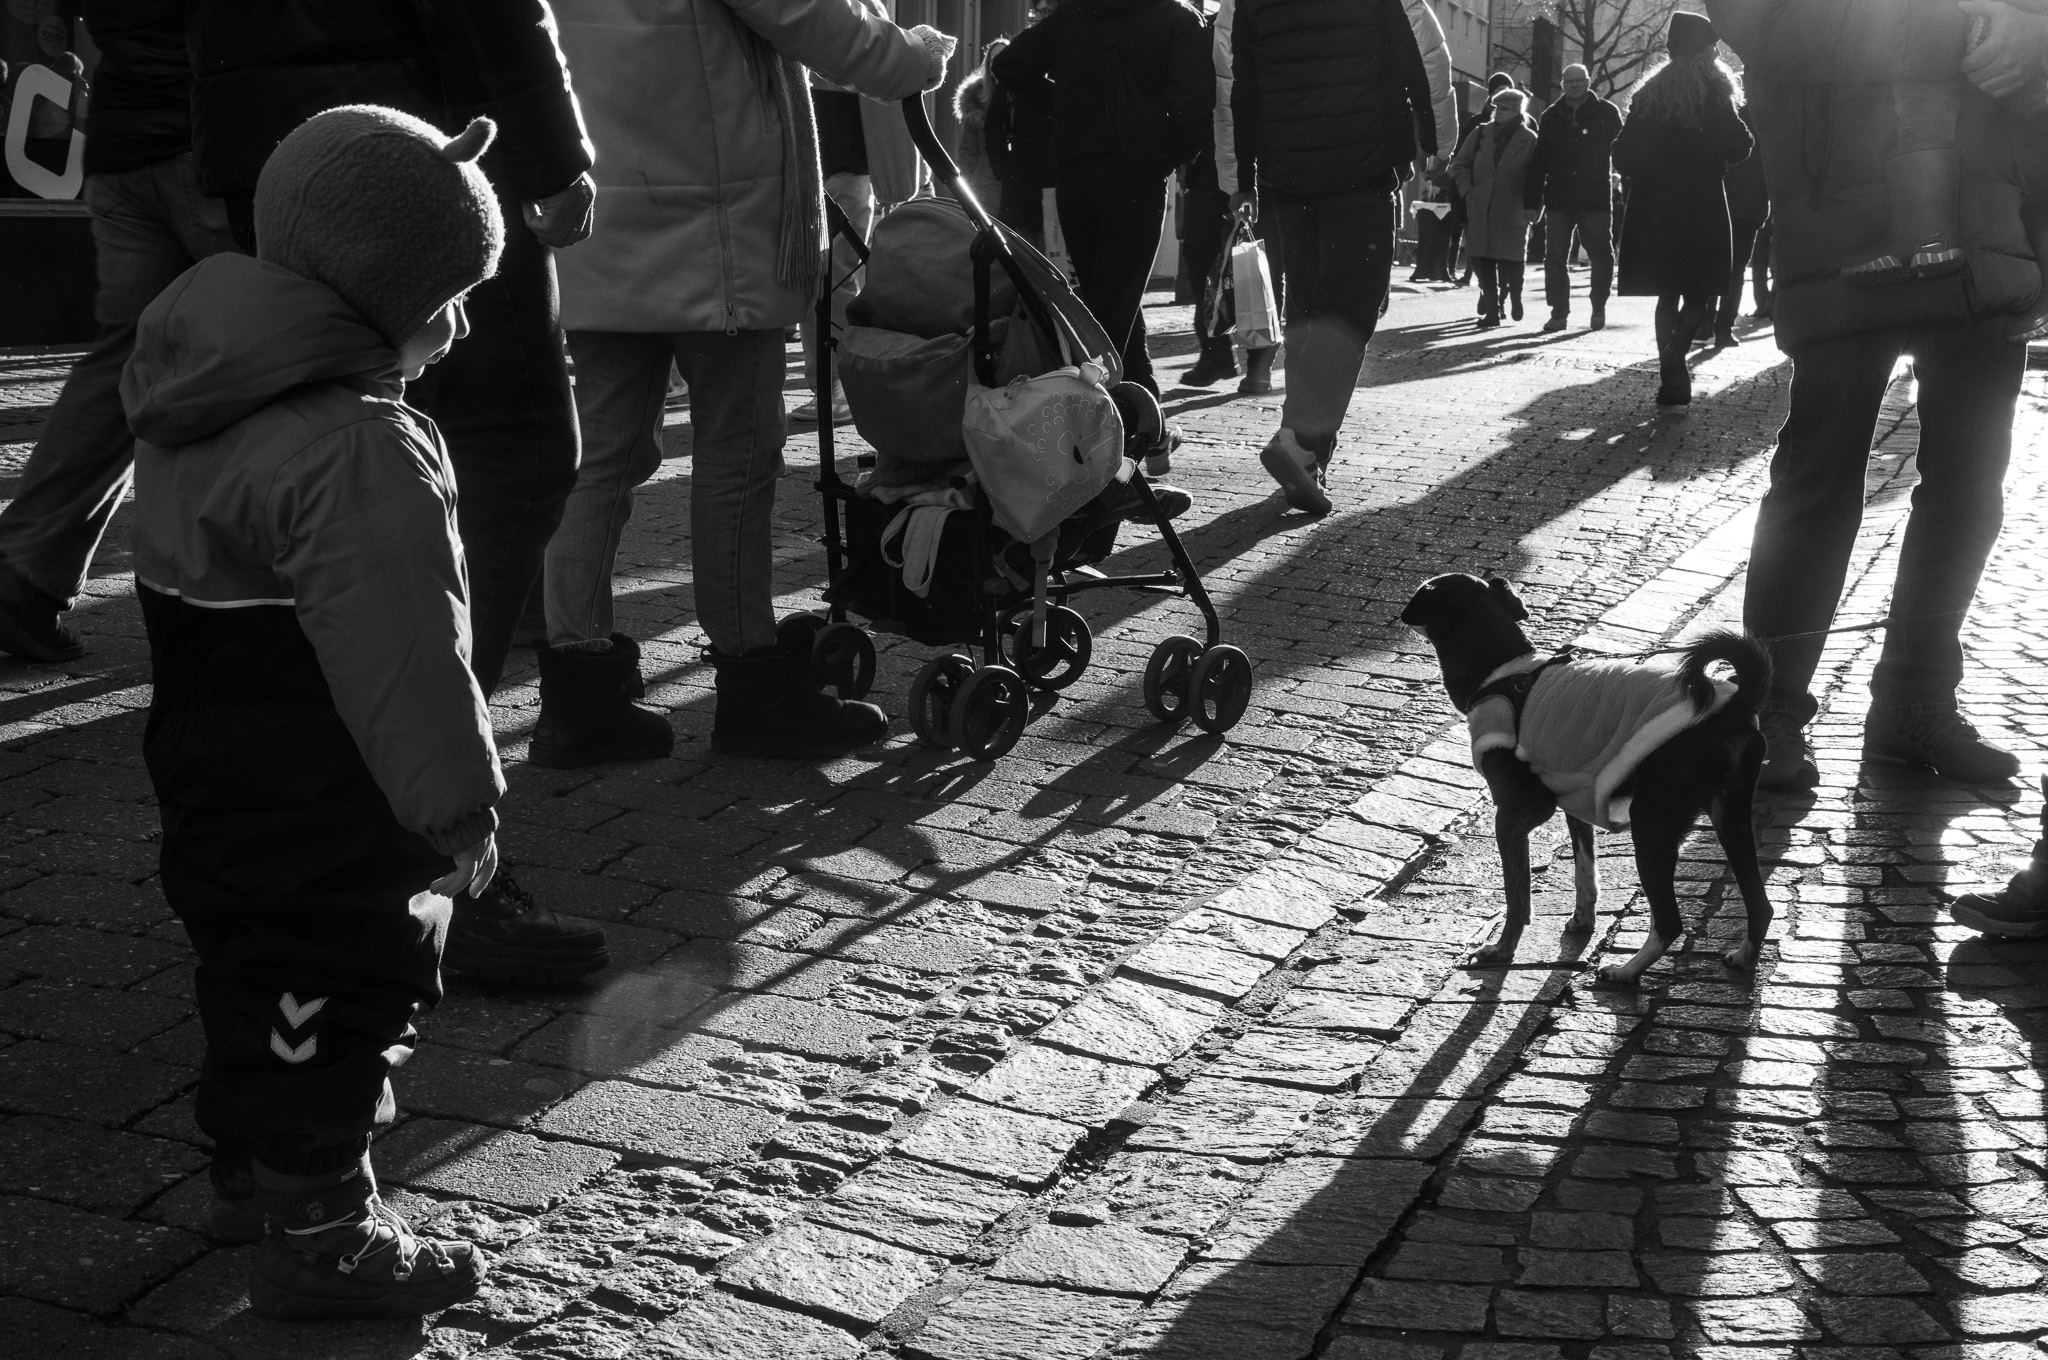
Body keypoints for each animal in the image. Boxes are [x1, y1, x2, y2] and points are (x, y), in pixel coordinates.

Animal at [1400, 573, 1769, 987]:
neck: (1500, 672)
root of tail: (1731, 710)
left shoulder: (1515, 815)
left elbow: (1517, 894)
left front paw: (1503, 949)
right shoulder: (1574, 800)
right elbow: (1584, 873)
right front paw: (1582, 920)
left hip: (1652, 825)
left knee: (1670, 922)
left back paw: (1627, 971)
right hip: (1729, 818)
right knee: (1760, 903)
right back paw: (1744, 958)